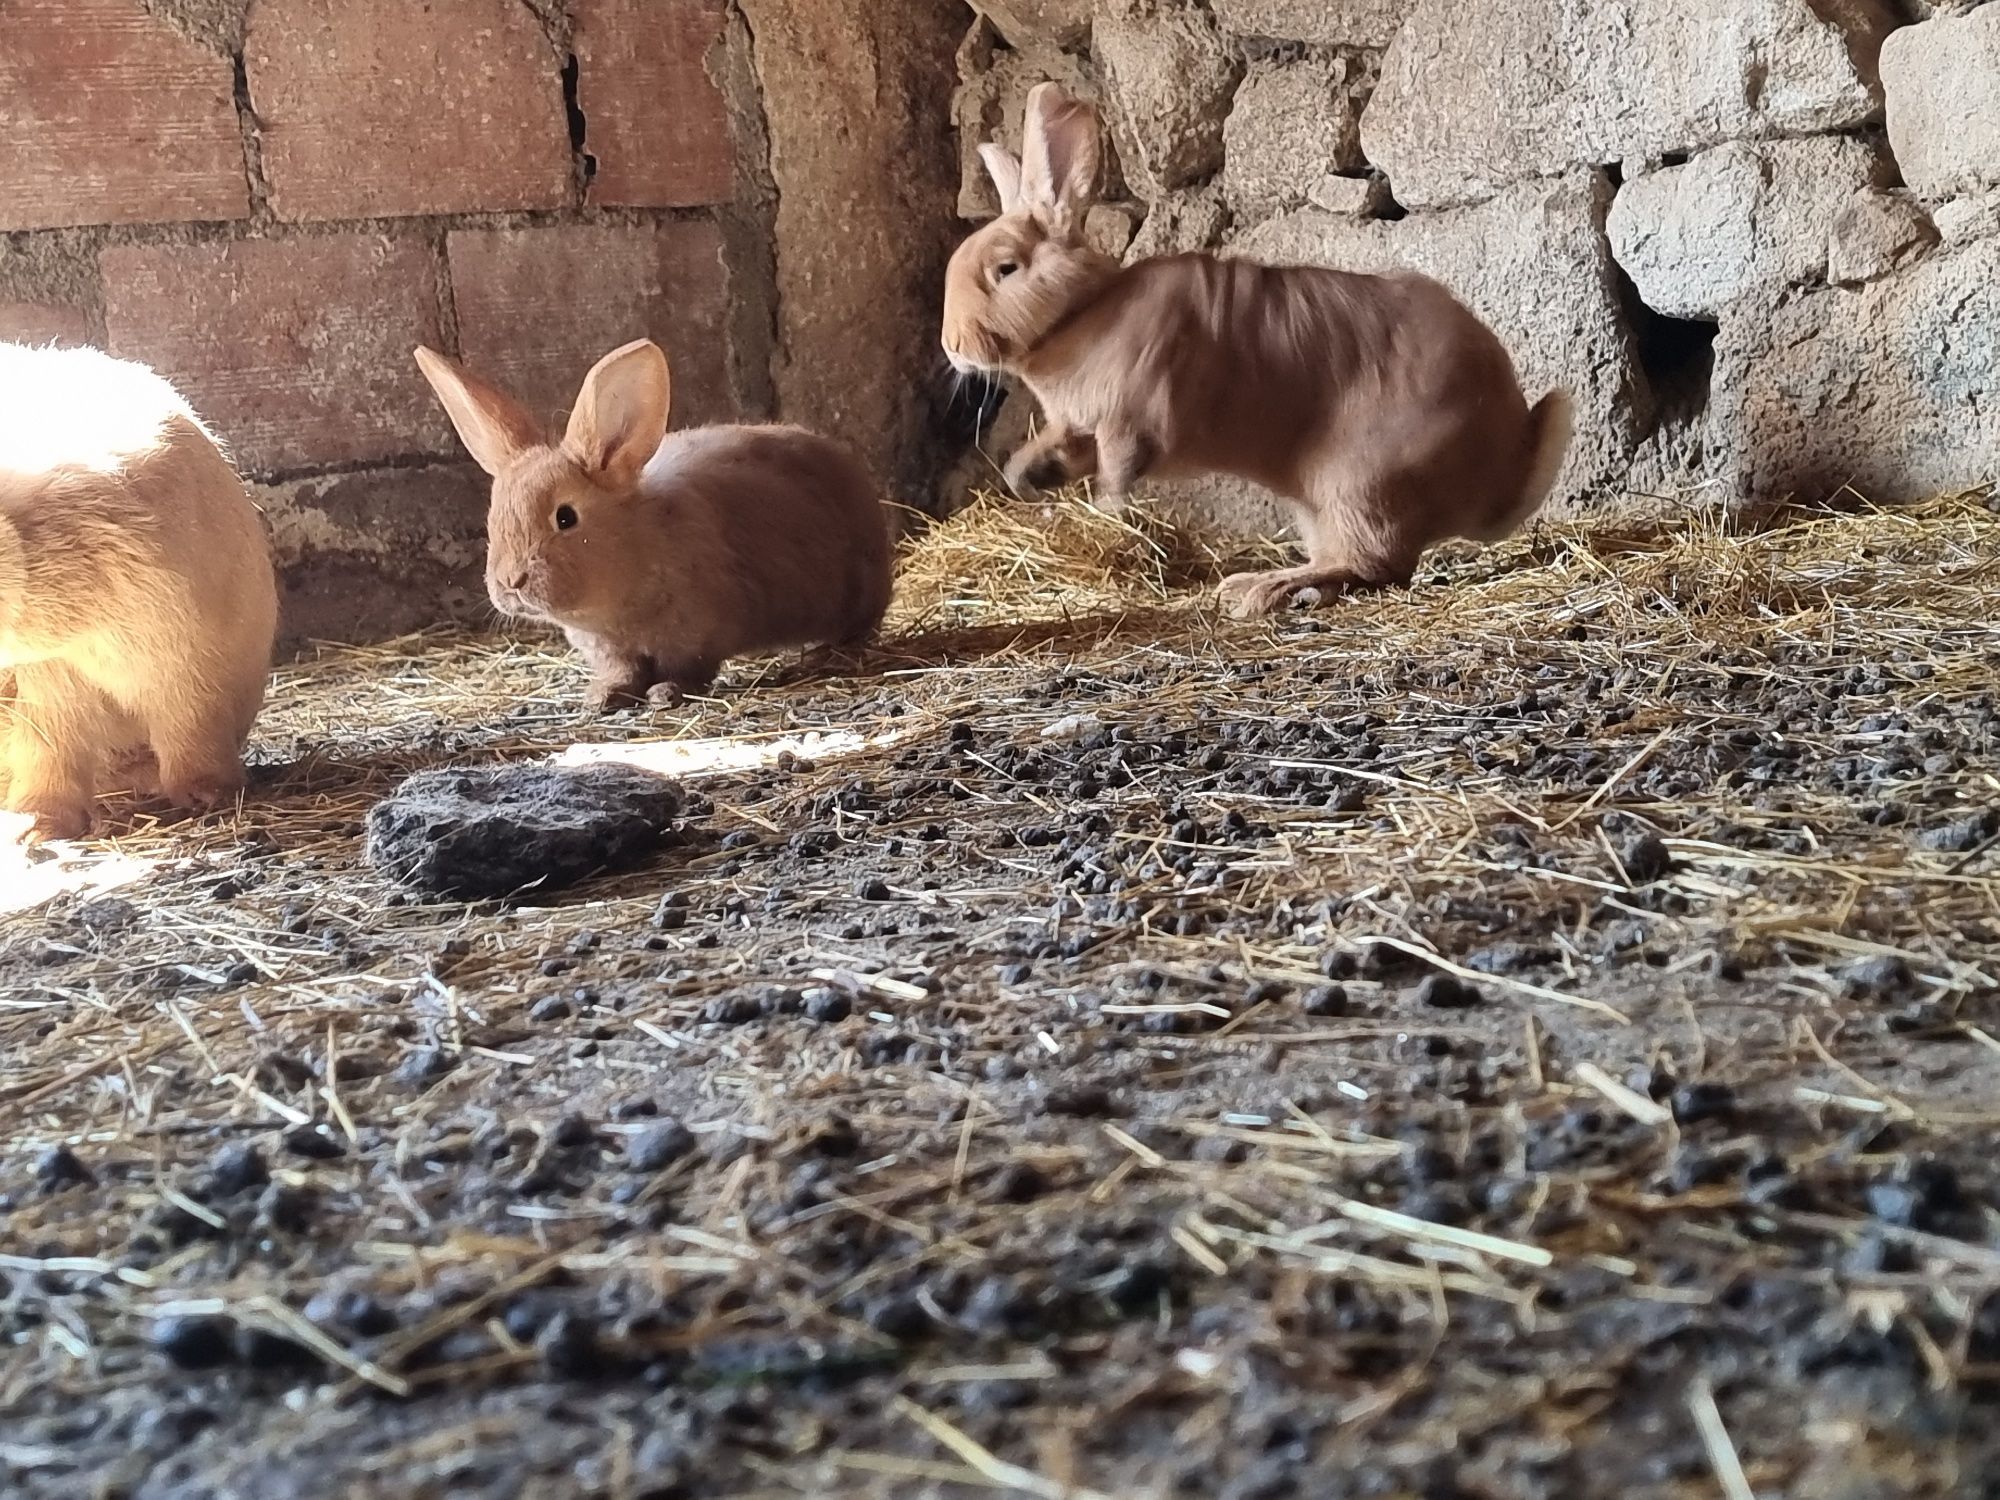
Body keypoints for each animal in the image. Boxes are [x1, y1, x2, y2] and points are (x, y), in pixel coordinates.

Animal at [0, 348, 278, 852]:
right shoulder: (47, 675)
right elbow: (49, 748)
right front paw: (36, 826)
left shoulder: (181, 638)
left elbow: (190, 713)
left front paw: (207, 794)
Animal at [414, 342, 892, 716]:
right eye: (493, 519)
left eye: (565, 517)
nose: (511, 582)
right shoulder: (610, 650)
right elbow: (622, 674)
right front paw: (601, 697)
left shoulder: (697, 635)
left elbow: (689, 671)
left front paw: (664, 693)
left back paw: (823, 655)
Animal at [940, 83, 1576, 624]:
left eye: (1005, 269)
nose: (952, 345)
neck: (1081, 316)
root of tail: (1502, 480)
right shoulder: (1078, 426)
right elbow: (1062, 448)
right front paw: (1026, 476)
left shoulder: (1138, 411)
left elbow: (1121, 462)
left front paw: (1110, 507)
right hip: (1322, 505)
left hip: (1358, 488)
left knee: (1375, 566)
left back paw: (1270, 590)